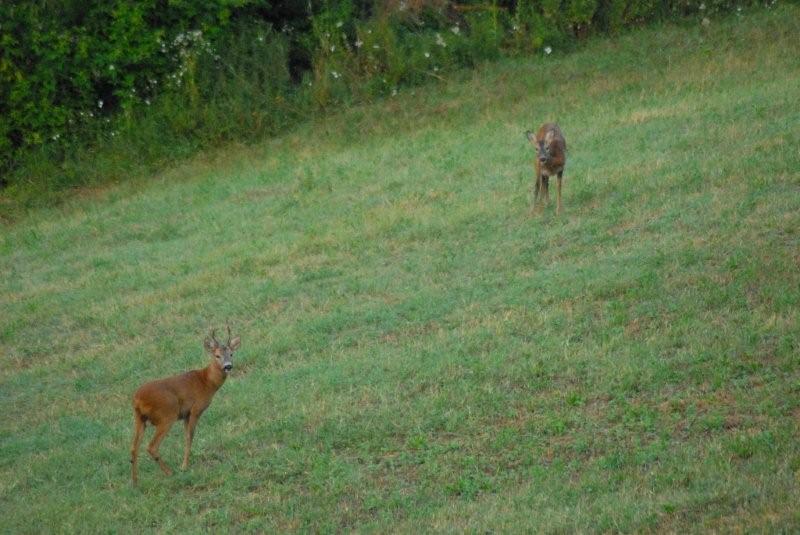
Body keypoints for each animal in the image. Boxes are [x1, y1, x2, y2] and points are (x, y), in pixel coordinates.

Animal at [128, 326, 239, 486]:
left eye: (231, 354)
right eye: (217, 355)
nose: (228, 366)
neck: (206, 382)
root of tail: (137, 399)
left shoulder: (185, 414)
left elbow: (187, 436)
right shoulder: (195, 410)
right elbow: (189, 437)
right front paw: (184, 466)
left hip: (139, 418)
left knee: (133, 447)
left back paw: (135, 481)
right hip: (167, 415)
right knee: (151, 446)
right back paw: (169, 472)